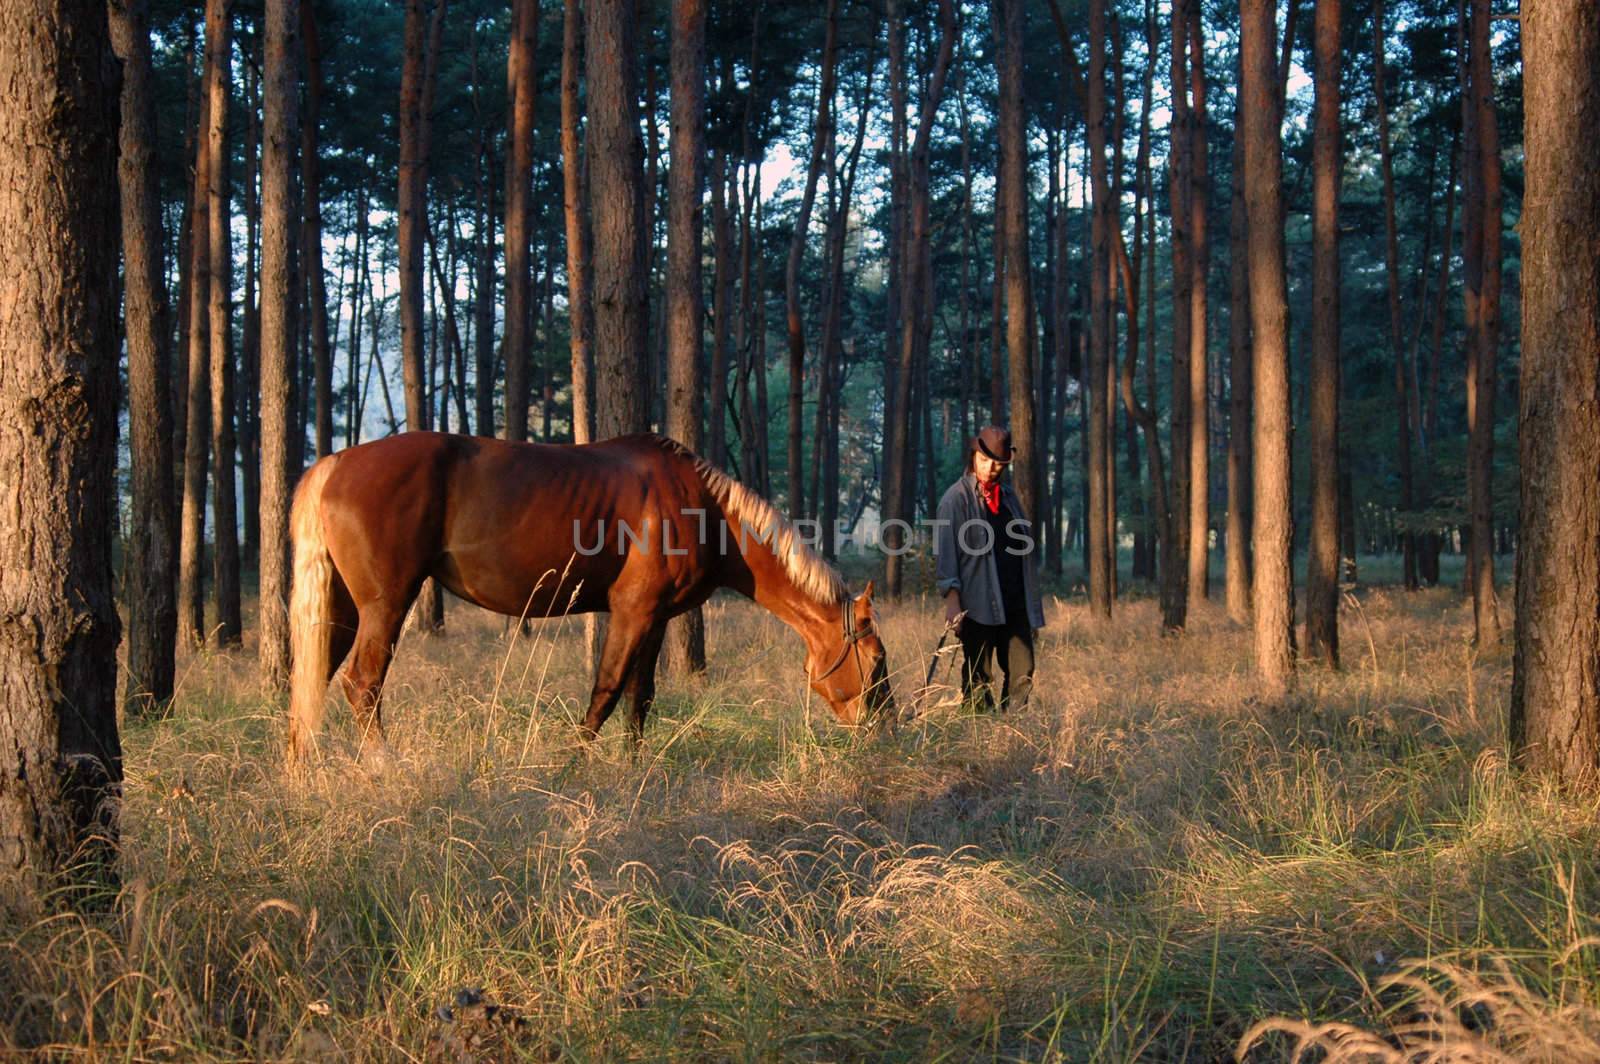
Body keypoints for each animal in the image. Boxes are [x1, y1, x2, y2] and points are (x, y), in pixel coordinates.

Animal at [288, 428, 889, 758]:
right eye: (877, 659)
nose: (884, 728)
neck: (704, 509)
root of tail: (335, 463)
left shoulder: (657, 618)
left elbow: (640, 697)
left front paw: (633, 766)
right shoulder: (632, 612)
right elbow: (606, 691)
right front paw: (573, 766)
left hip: (342, 608)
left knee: (313, 682)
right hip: (386, 604)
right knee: (363, 684)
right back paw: (382, 765)